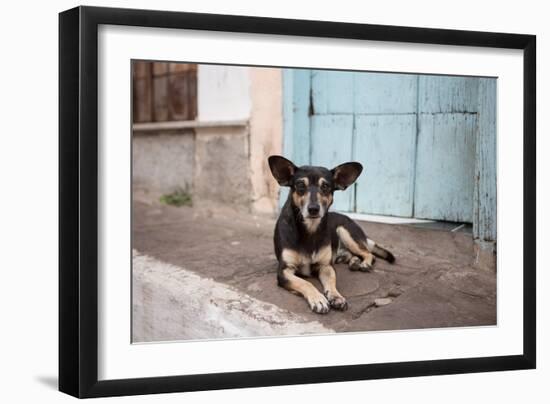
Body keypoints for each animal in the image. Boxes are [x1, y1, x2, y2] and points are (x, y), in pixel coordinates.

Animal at [268, 156, 394, 314]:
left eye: (326, 186)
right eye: (300, 185)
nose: (313, 209)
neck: (310, 230)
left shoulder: (326, 266)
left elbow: (332, 282)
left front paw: (336, 296)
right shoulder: (285, 271)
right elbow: (305, 283)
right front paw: (318, 299)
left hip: (345, 232)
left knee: (368, 253)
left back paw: (363, 263)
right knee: (352, 255)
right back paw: (354, 262)